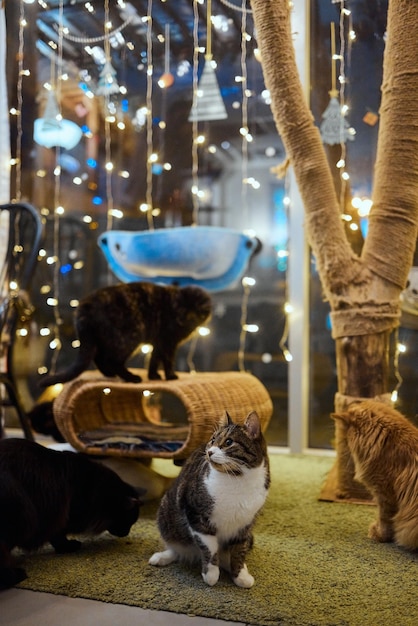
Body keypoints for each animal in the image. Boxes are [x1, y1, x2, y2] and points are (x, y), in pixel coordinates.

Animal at [0, 436, 144, 588]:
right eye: (129, 522)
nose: (126, 534)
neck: (95, 490)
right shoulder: (62, 516)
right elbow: (58, 536)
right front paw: (67, 546)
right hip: (21, 522)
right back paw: (15, 575)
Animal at [40, 280, 212, 386]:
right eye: (183, 309)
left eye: (197, 310)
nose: (190, 317)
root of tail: (86, 305)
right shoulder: (168, 342)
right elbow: (168, 360)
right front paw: (170, 377)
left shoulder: (159, 342)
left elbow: (154, 359)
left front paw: (153, 376)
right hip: (130, 336)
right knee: (112, 360)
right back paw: (132, 377)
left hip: (105, 338)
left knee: (98, 357)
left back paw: (110, 374)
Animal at [149, 410, 270, 584]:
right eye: (212, 439)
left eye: (229, 442)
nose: (210, 451)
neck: (237, 480)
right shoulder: (196, 515)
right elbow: (210, 547)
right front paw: (211, 575)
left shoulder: (245, 524)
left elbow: (239, 550)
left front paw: (240, 575)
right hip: (166, 516)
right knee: (177, 549)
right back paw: (161, 557)